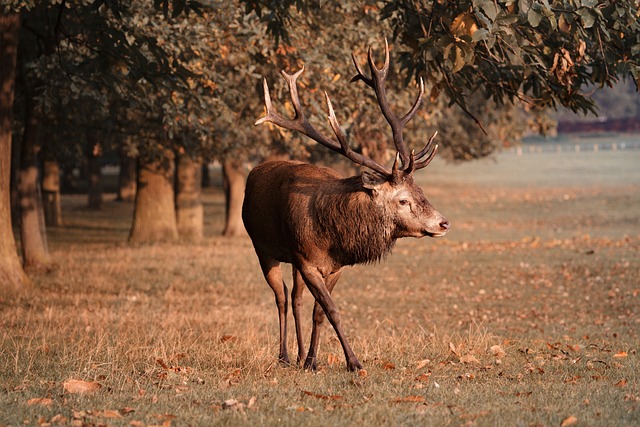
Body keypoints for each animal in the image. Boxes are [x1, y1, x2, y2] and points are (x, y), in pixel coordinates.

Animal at [241, 41, 450, 374]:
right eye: (402, 199)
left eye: (421, 191)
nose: (443, 223)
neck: (333, 237)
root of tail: (254, 173)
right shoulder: (307, 262)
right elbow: (333, 310)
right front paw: (354, 362)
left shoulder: (333, 266)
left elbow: (319, 312)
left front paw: (312, 361)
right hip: (262, 247)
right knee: (281, 297)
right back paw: (284, 355)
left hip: (292, 258)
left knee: (296, 298)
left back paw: (299, 355)